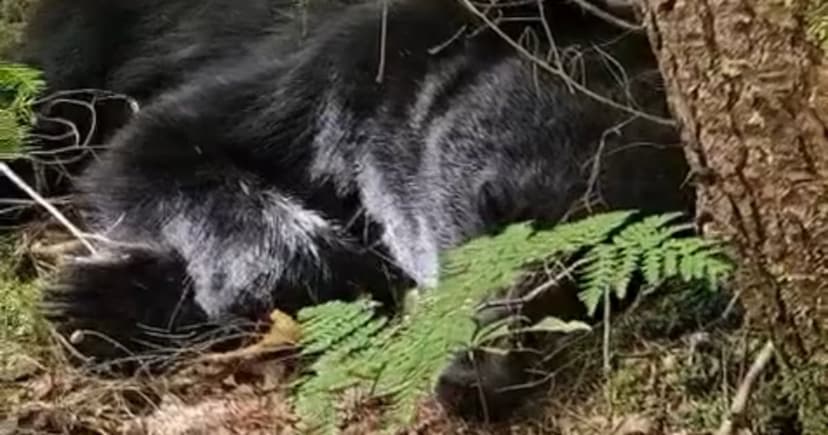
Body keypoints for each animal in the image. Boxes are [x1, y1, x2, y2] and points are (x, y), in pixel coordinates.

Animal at [16, 0, 693, 420]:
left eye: (596, 282)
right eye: (493, 204)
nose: (480, 375)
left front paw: (103, 301)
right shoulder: (313, 75)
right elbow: (155, 147)